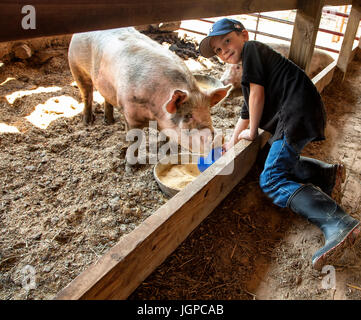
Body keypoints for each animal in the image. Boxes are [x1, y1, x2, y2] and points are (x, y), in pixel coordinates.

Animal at [68, 27, 231, 152]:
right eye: (187, 116)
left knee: (105, 97)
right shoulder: (130, 114)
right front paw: (130, 167)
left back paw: (109, 121)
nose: (217, 141)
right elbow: (133, 140)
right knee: (87, 94)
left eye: (208, 112)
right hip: (76, 67)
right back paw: (87, 122)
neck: (154, 114)